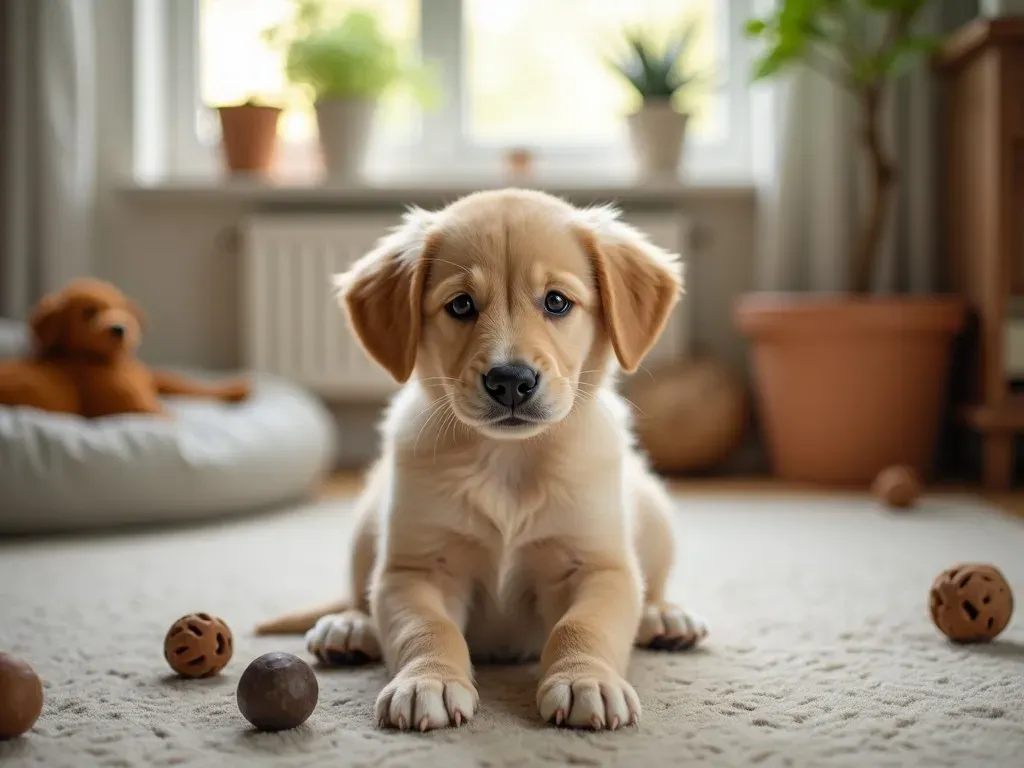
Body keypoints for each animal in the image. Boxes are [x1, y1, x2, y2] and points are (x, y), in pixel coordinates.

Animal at [258, 189, 704, 729]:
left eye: (557, 301)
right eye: (461, 305)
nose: (510, 380)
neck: (506, 460)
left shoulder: (600, 566)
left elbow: (582, 626)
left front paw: (585, 680)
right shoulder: (416, 569)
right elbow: (427, 629)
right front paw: (426, 681)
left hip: (655, 513)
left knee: (650, 587)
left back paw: (665, 616)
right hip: (367, 525)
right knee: (359, 594)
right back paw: (349, 627)